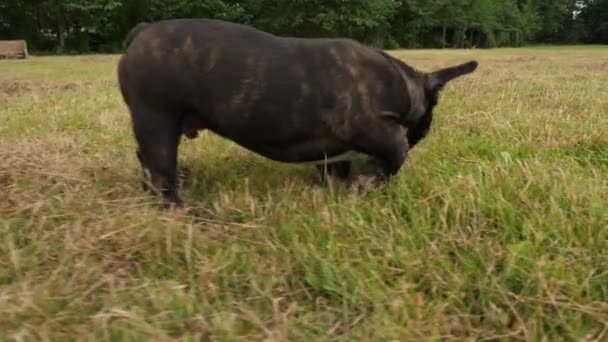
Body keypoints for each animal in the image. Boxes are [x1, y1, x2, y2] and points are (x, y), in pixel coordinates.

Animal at [117, 18, 480, 207]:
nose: (423, 132)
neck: (402, 84)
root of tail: (142, 31)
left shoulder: (334, 152)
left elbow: (337, 168)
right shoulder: (369, 128)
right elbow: (395, 153)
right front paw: (365, 183)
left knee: (147, 161)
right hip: (157, 119)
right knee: (161, 167)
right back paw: (178, 208)